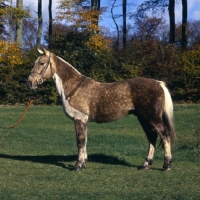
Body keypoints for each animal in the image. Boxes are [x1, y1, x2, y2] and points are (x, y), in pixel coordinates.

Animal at [27, 47, 175, 171]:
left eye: (42, 63)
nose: (30, 81)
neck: (74, 87)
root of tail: (159, 84)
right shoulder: (83, 120)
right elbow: (84, 140)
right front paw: (83, 162)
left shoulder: (79, 118)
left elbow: (80, 141)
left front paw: (78, 165)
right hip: (143, 118)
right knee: (152, 137)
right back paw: (145, 165)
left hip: (152, 118)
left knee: (164, 134)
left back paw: (166, 165)